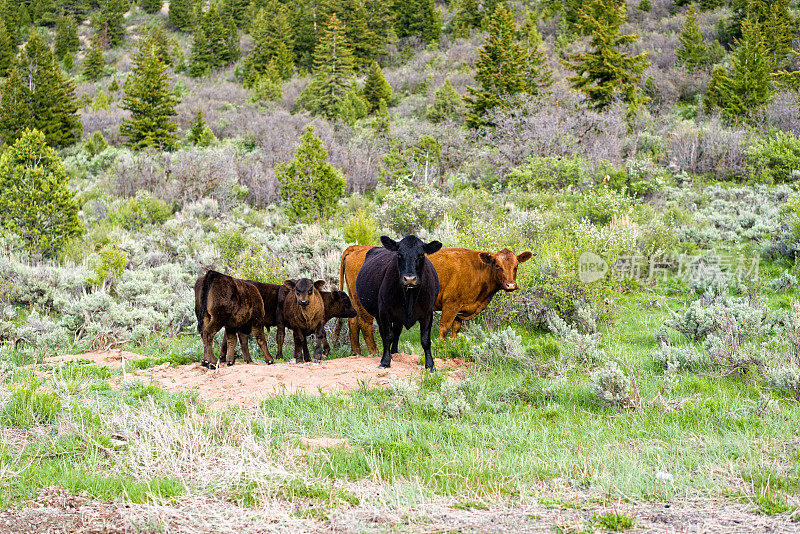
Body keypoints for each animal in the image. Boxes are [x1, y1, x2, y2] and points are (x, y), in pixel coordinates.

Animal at [332, 246, 532, 356]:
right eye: (497, 265)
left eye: (516, 266)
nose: (510, 285)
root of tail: (358, 247)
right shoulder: (451, 304)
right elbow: (444, 327)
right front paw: (441, 347)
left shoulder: (460, 309)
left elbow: (455, 330)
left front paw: (454, 345)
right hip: (365, 303)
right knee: (365, 324)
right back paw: (374, 352)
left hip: (355, 301)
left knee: (353, 322)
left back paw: (356, 352)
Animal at [356, 237, 444, 370]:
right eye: (399, 254)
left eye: (421, 255)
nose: (409, 279)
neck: (409, 298)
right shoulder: (384, 311)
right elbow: (388, 336)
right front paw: (385, 361)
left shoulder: (428, 313)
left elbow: (425, 340)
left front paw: (430, 365)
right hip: (379, 314)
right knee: (385, 334)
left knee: (397, 332)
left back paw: (395, 353)